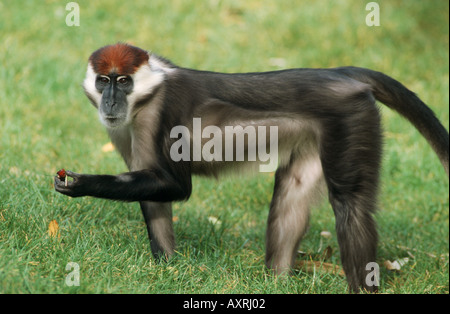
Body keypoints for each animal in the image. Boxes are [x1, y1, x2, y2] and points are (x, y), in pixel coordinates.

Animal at [54, 43, 448, 294]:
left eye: (124, 82)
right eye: (104, 81)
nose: (110, 100)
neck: (147, 93)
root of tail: (340, 74)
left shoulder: (159, 113)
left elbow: (177, 186)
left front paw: (83, 183)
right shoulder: (120, 128)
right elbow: (155, 197)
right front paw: (167, 270)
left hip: (351, 116)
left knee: (350, 203)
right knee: (293, 193)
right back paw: (276, 282)